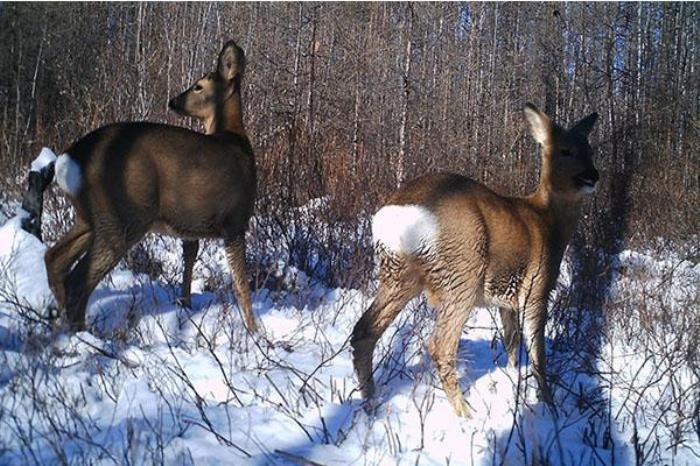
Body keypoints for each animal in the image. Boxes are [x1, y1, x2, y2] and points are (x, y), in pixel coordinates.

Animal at [41, 40, 256, 332]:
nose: (173, 101)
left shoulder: (192, 224)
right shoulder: (235, 220)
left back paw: (56, 322)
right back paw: (81, 333)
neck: (236, 138)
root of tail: (70, 157)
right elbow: (241, 284)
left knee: (54, 258)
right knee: (78, 280)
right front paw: (256, 332)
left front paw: (185, 306)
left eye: (198, 86)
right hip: (123, 214)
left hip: (89, 216)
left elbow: (190, 260)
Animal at [352, 104, 600, 416]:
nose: (593, 175)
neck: (547, 221)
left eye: (590, 149)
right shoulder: (536, 288)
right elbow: (537, 352)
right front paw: (548, 405)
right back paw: (465, 413)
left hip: (398, 273)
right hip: (463, 270)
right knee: (440, 345)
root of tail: (397, 213)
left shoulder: (505, 301)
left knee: (363, 331)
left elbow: (511, 343)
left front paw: (512, 379)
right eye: (565, 150)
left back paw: (370, 403)